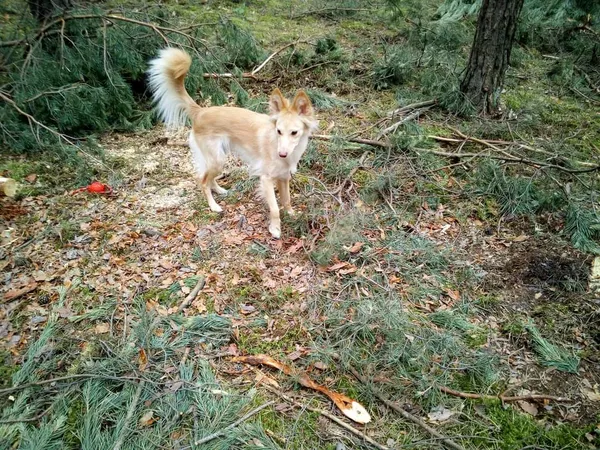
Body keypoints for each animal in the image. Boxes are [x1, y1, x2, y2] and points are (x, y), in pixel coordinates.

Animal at [148, 48, 318, 239]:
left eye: (294, 133)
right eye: (278, 131)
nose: (282, 154)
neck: (276, 145)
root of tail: (201, 111)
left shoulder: (284, 177)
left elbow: (287, 200)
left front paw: (292, 215)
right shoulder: (266, 179)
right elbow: (275, 208)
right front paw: (275, 228)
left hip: (217, 158)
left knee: (207, 177)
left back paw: (219, 190)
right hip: (217, 159)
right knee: (202, 181)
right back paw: (214, 206)